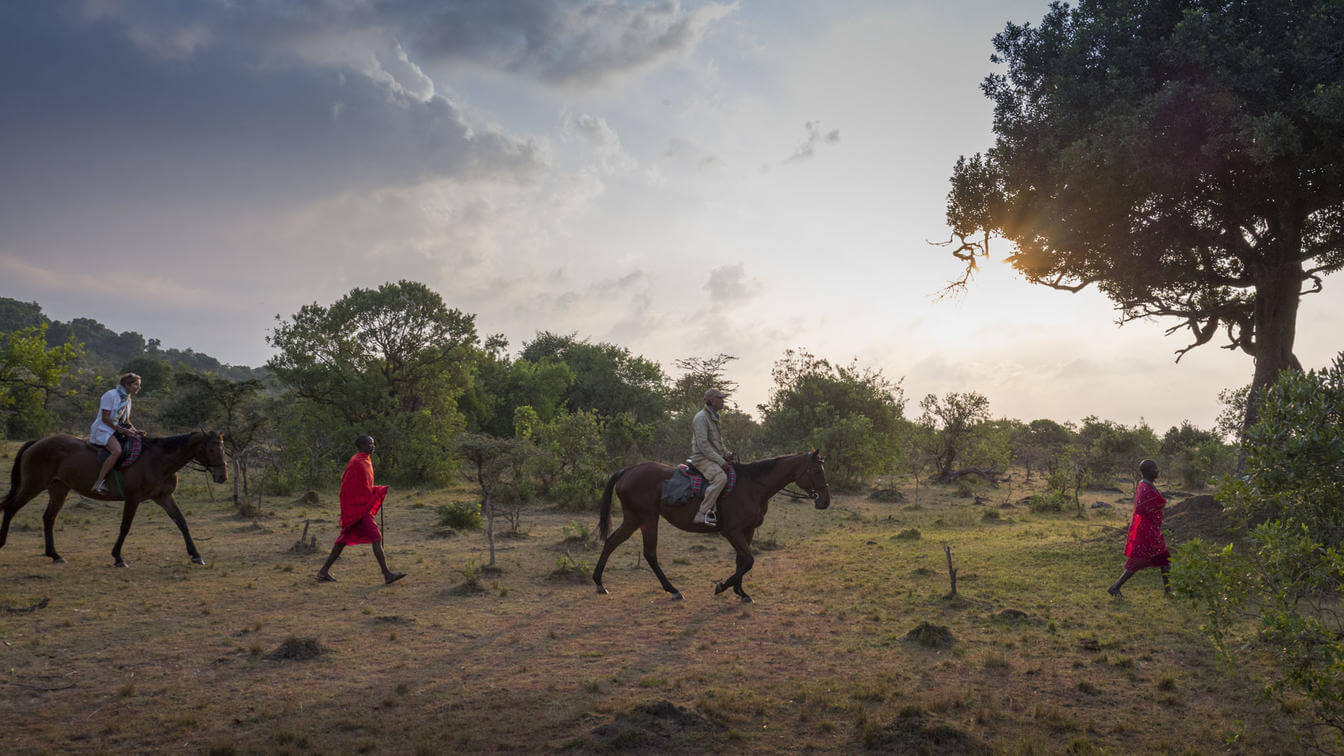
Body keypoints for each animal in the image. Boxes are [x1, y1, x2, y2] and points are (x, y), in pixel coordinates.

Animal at [1, 430, 227, 564]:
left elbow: (181, 522)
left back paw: (55, 555)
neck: (158, 460)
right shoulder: (133, 498)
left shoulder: (163, 496)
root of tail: (38, 442)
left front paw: (196, 555)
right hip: (32, 486)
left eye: (223, 449)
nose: (222, 476)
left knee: (49, 518)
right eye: (211, 449)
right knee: (11, 508)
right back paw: (2, 542)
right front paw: (118, 557)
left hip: (59, 489)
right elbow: (125, 526)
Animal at [591, 446, 822, 599]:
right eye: (818, 471)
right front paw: (722, 587)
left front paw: (740, 591)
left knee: (611, 541)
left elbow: (742, 560)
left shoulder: (747, 531)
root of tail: (627, 470)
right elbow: (748, 560)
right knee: (649, 553)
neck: (752, 486)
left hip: (633, 519)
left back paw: (599, 583)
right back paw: (672, 590)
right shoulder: (732, 531)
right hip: (647, 518)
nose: (824, 501)